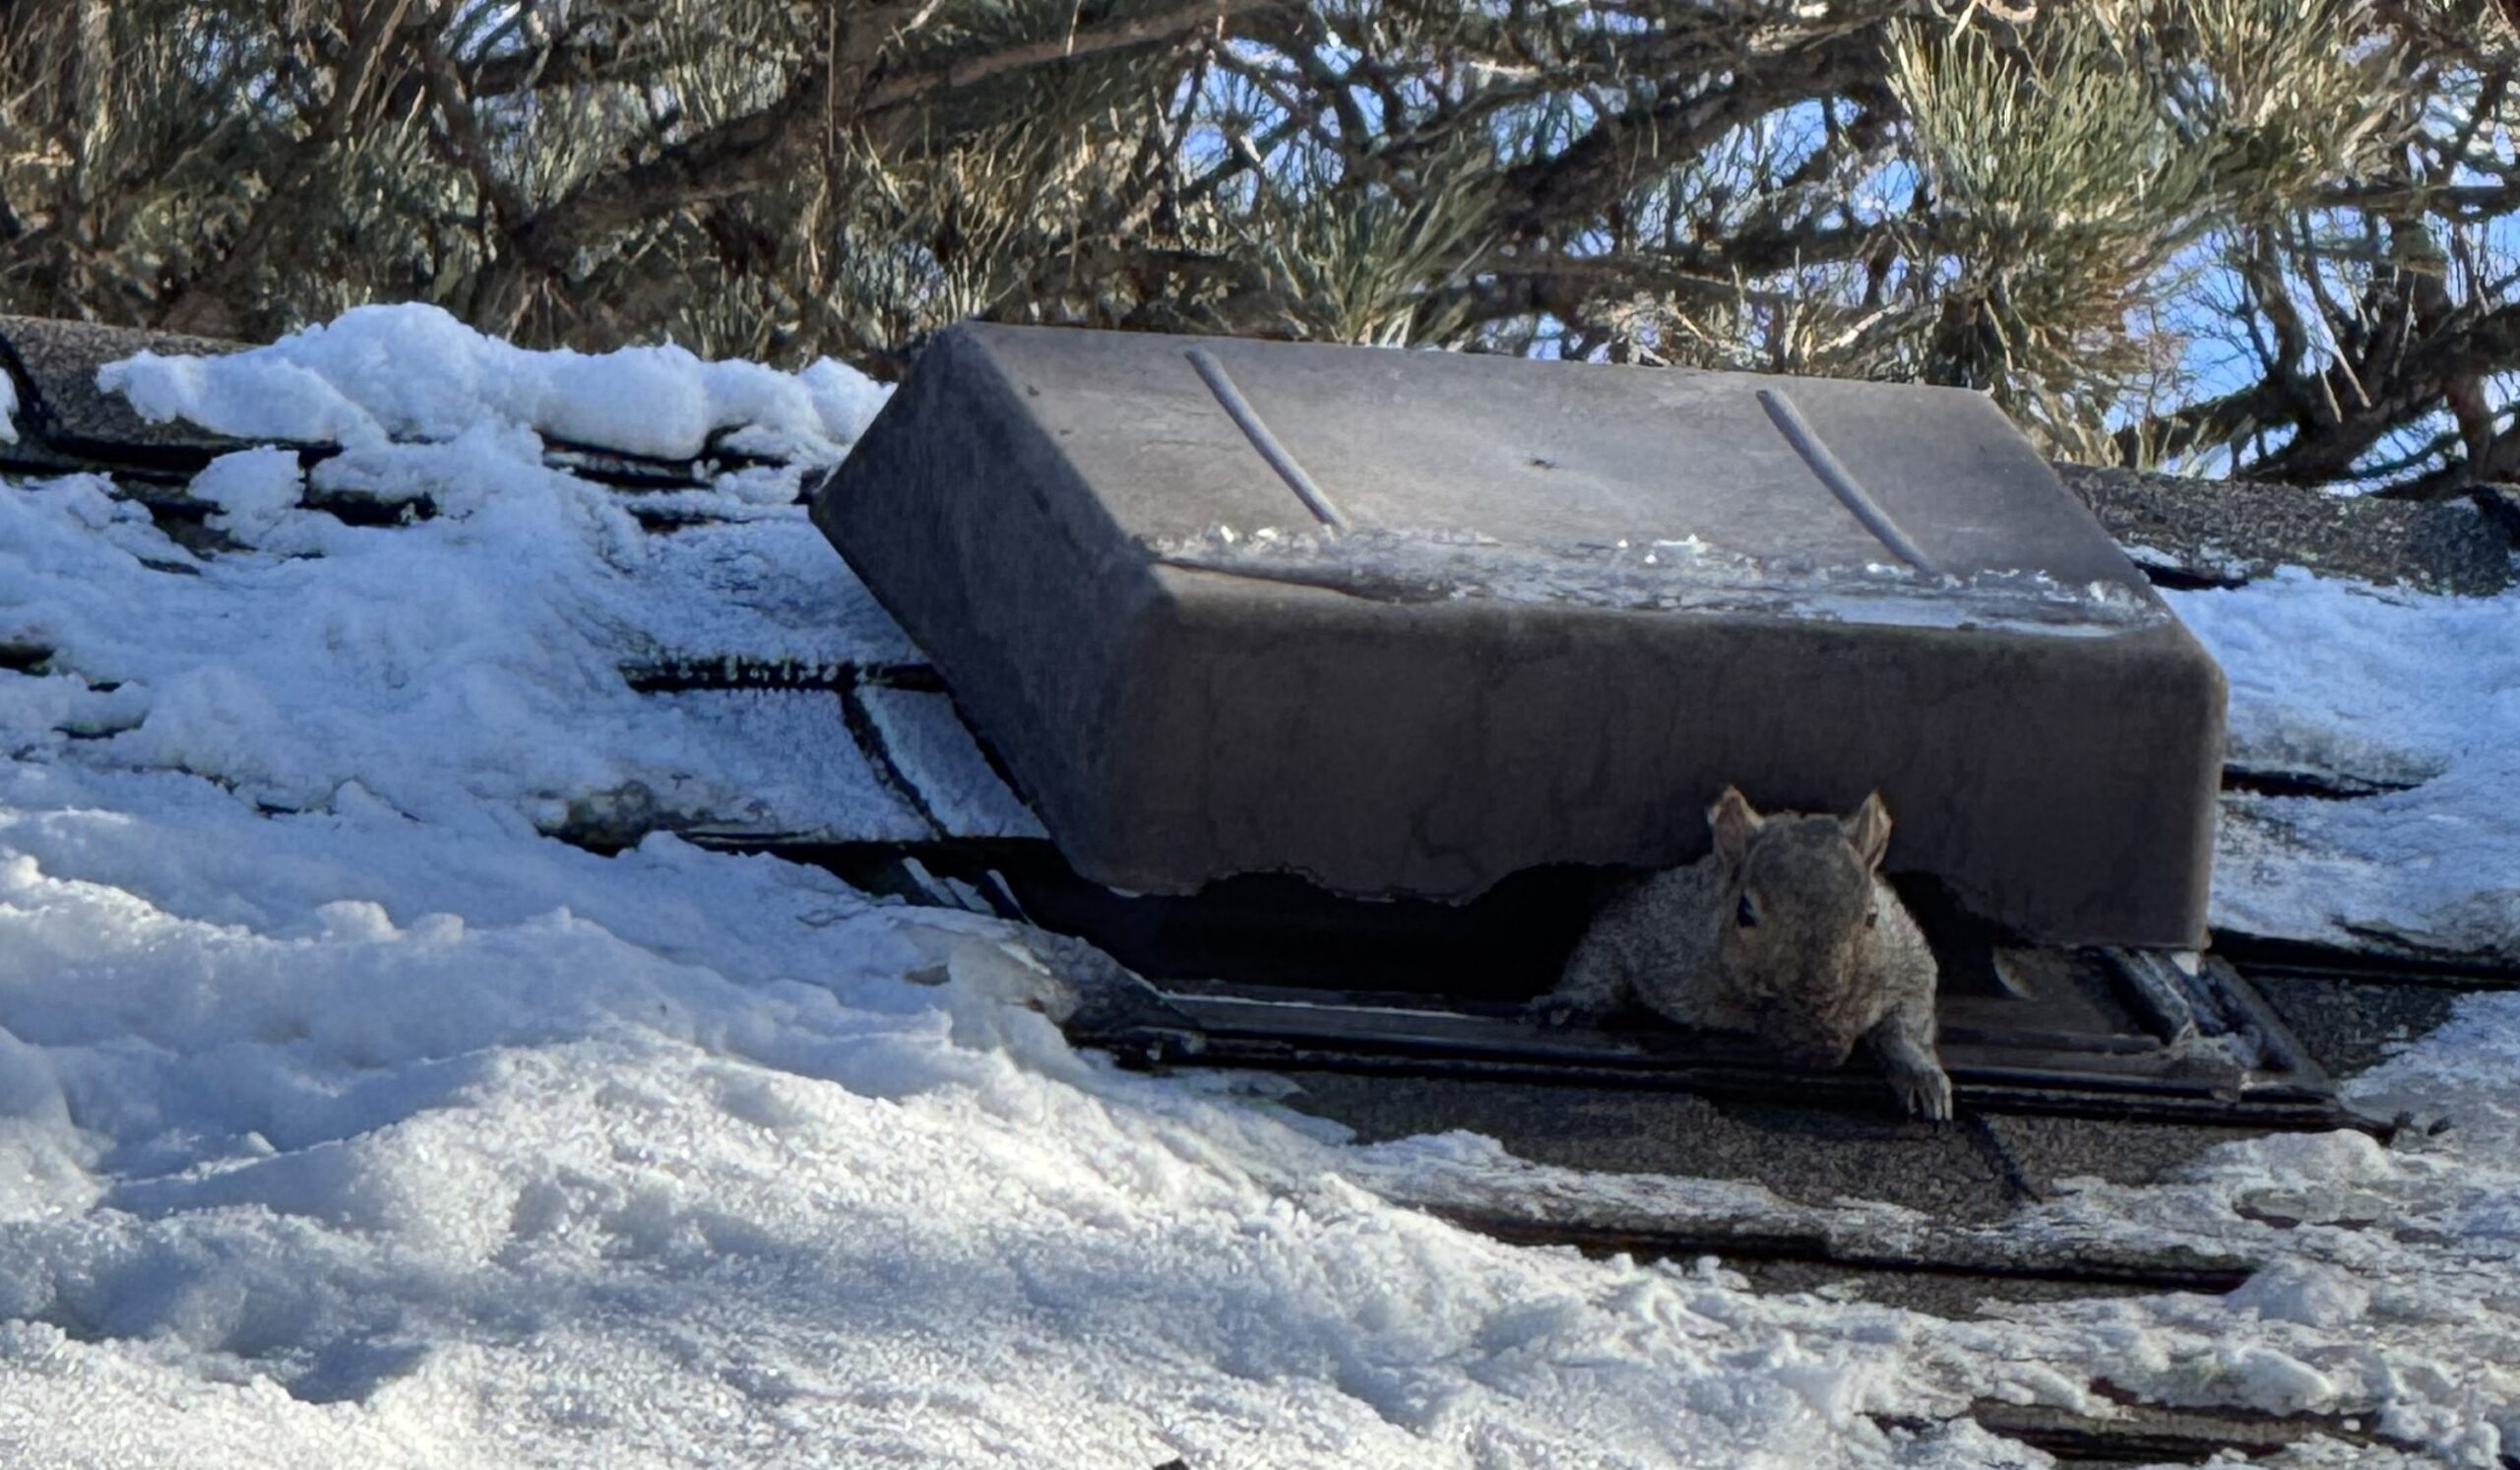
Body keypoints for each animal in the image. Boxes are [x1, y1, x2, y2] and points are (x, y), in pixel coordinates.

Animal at [1534, 786, 1953, 1122]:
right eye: (1745, 912)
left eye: (1872, 916)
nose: (1822, 1051)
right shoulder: (1659, 933)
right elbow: (1605, 946)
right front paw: (1571, 1002)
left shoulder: (1905, 960)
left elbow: (1910, 1016)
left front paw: (1920, 1074)